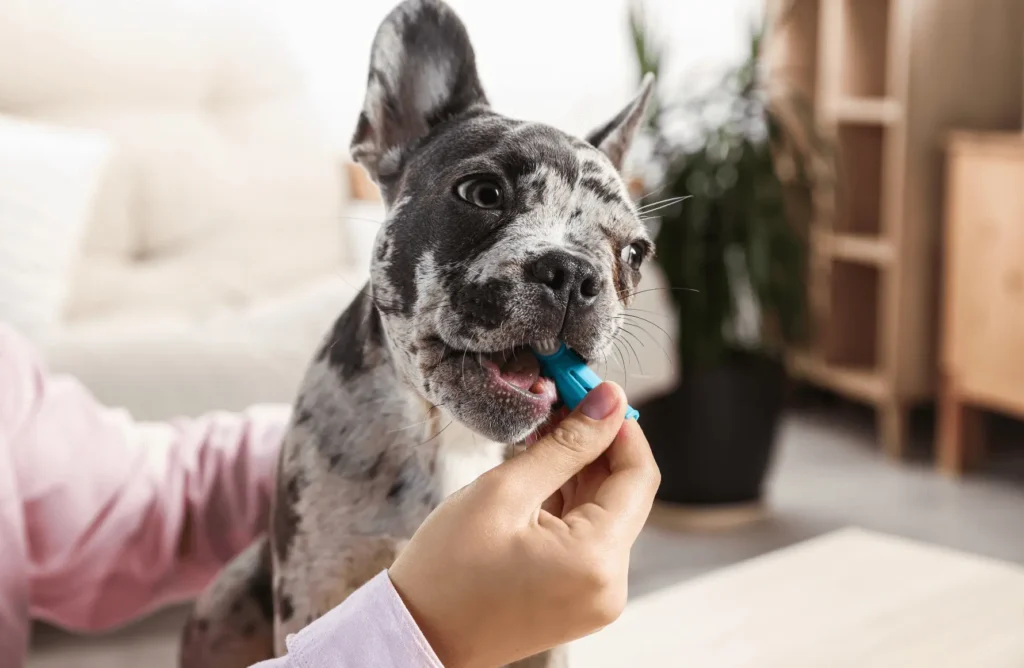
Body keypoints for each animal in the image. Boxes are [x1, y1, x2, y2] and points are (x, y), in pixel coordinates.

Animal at [179, 2, 651, 663]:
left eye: (635, 252)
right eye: (482, 192)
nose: (574, 272)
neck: (447, 433)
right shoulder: (315, 586)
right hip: (224, 599)